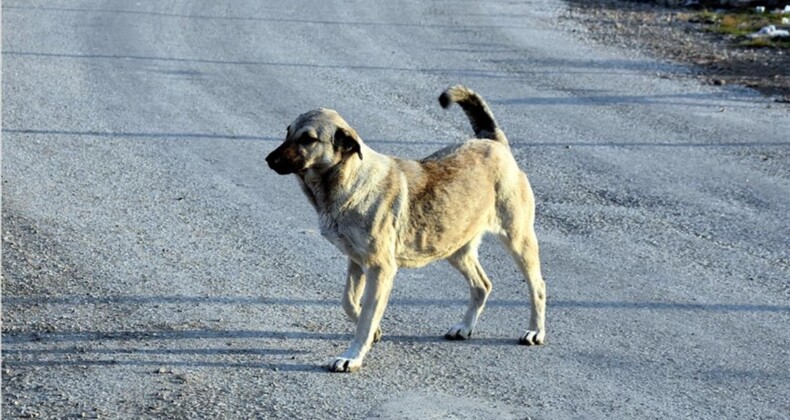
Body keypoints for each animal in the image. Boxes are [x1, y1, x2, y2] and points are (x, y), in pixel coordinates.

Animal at [270, 84, 548, 370]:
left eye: (308, 139)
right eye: (288, 132)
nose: (269, 159)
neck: (350, 180)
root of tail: (494, 142)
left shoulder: (380, 269)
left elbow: (366, 317)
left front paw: (353, 356)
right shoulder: (357, 262)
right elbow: (348, 302)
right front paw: (374, 331)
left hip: (518, 240)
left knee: (537, 286)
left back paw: (535, 331)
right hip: (454, 248)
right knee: (482, 285)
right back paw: (465, 327)